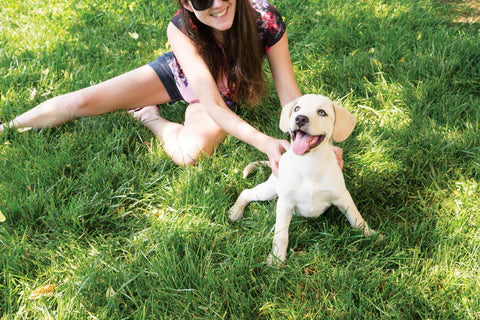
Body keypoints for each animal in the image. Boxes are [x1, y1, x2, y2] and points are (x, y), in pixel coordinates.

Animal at [230, 94, 378, 264]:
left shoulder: (342, 196)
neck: (309, 164)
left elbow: (356, 217)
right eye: (297, 108)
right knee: (246, 192)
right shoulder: (285, 203)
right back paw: (235, 211)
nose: (300, 118)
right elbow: (281, 234)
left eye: (322, 112)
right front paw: (276, 258)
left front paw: (371, 234)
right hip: (270, 191)